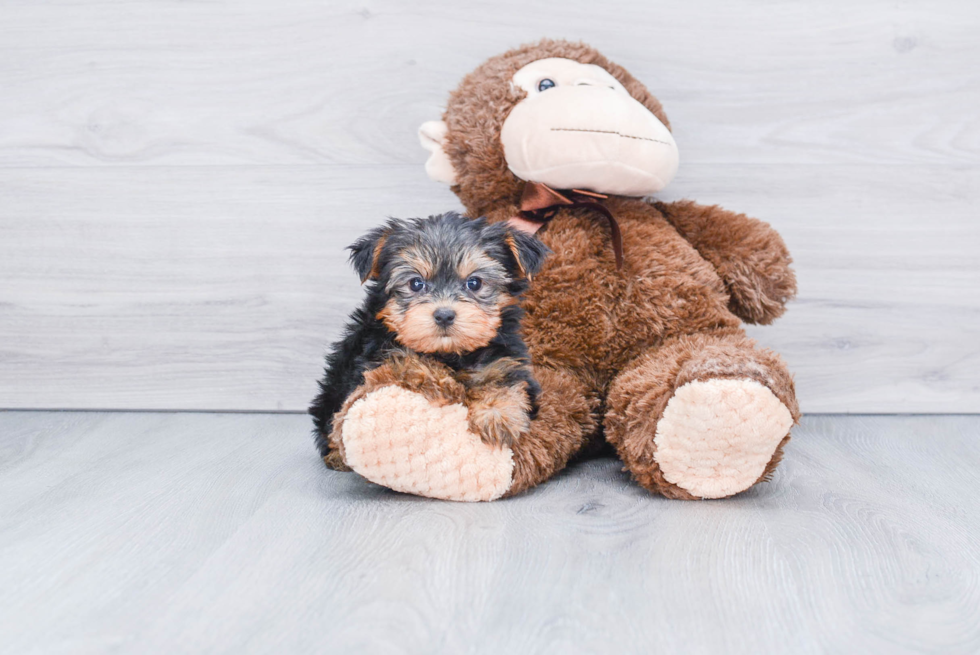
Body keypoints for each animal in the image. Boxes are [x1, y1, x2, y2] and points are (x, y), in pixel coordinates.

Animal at [310, 211, 548, 466]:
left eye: (474, 283)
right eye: (416, 283)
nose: (444, 315)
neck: (450, 353)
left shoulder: (507, 359)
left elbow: (507, 380)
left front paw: (497, 415)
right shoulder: (376, 356)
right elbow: (406, 359)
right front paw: (440, 381)